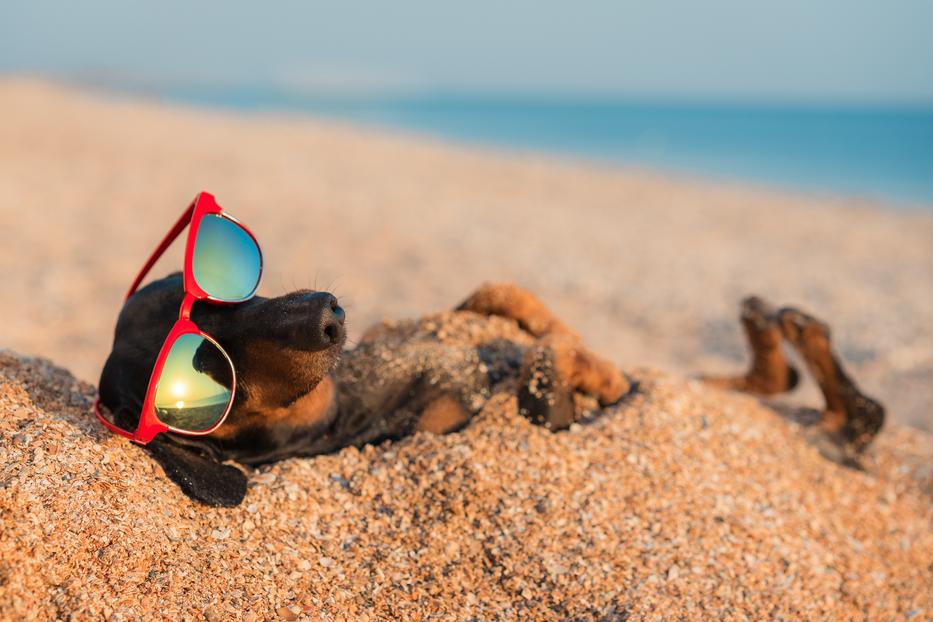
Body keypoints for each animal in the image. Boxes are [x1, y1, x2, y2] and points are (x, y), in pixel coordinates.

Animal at [96, 276, 880, 508]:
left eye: (223, 297)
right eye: (212, 368)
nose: (329, 312)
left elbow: (507, 302)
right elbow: (545, 378)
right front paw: (570, 369)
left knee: (788, 384)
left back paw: (780, 322)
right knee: (858, 412)